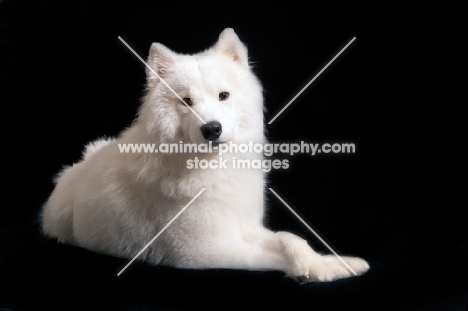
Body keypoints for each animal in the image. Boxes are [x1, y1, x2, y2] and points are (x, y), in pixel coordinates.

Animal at [41, 28, 370, 282]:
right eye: (186, 102)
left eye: (223, 96)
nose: (211, 128)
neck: (214, 166)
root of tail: (81, 164)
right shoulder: (204, 251)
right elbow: (274, 254)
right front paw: (314, 270)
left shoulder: (246, 227)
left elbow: (290, 238)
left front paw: (334, 262)